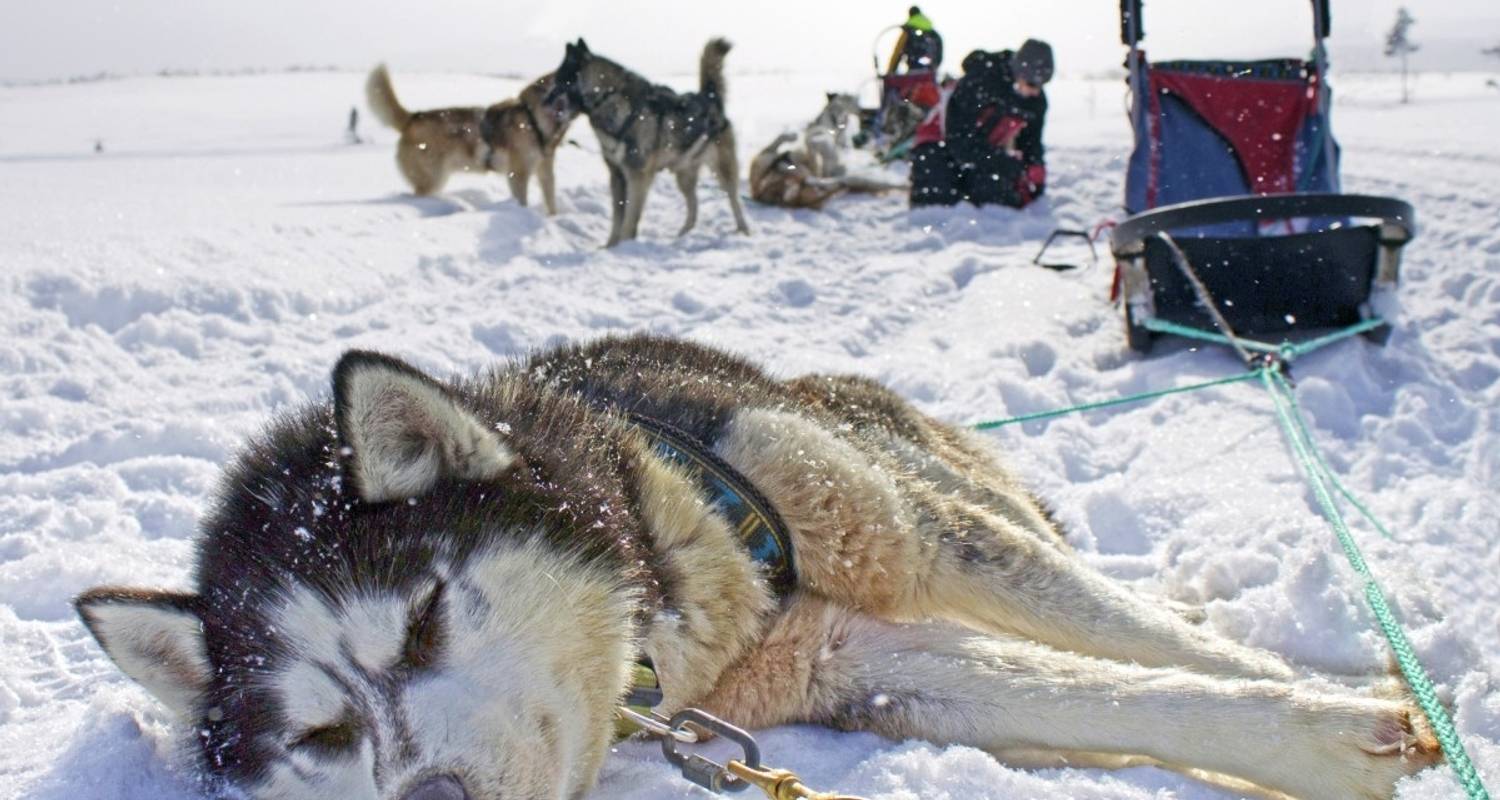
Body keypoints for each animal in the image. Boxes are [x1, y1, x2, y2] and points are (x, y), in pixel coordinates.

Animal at [76, 331, 1434, 798]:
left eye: (419, 623)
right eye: (318, 737)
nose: (431, 799)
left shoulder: (891, 534)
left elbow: (1149, 645)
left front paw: (1357, 701)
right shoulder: (848, 663)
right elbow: (1106, 692)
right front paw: (1322, 737)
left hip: (913, 483)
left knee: (1082, 571)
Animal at [363, 64, 573, 211]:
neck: (533, 115)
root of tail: (413, 117)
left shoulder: (544, 170)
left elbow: (551, 203)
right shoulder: (518, 173)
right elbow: (522, 200)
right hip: (433, 179)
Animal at [549, 39, 750, 244]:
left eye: (559, 81)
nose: (544, 101)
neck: (610, 101)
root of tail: (709, 97)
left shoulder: (637, 176)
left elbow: (629, 219)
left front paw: (625, 245)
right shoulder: (617, 176)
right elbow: (617, 218)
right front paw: (611, 245)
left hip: (723, 172)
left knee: (735, 200)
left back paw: (744, 230)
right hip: (684, 176)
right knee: (694, 206)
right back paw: (681, 236)